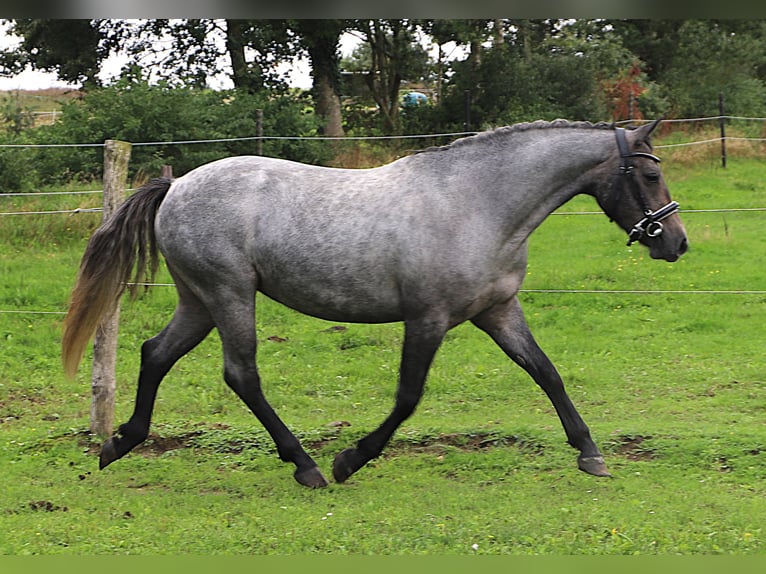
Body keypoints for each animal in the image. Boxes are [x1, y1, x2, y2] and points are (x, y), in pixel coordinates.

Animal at [62, 119, 688, 488]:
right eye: (648, 173)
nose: (677, 243)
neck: (476, 204)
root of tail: (176, 186)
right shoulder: (429, 319)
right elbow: (408, 397)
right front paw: (350, 459)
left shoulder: (498, 312)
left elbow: (546, 373)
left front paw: (590, 453)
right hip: (228, 293)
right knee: (241, 374)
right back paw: (307, 466)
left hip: (198, 300)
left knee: (155, 353)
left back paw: (119, 444)